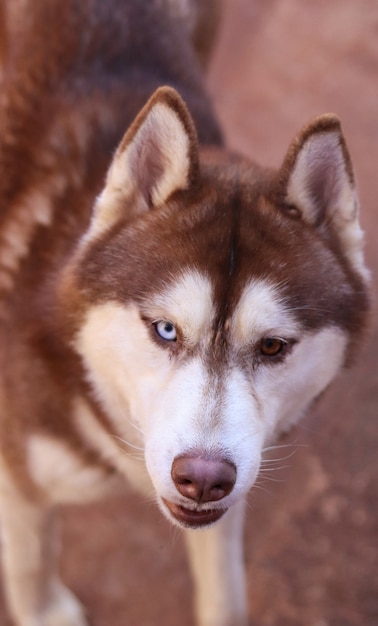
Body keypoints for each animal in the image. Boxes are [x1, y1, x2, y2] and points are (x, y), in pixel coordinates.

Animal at [0, 1, 370, 624]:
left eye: (273, 345)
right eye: (165, 329)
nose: (202, 479)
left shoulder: (234, 484)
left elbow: (225, 587)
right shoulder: (19, 473)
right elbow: (31, 560)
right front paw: (46, 610)